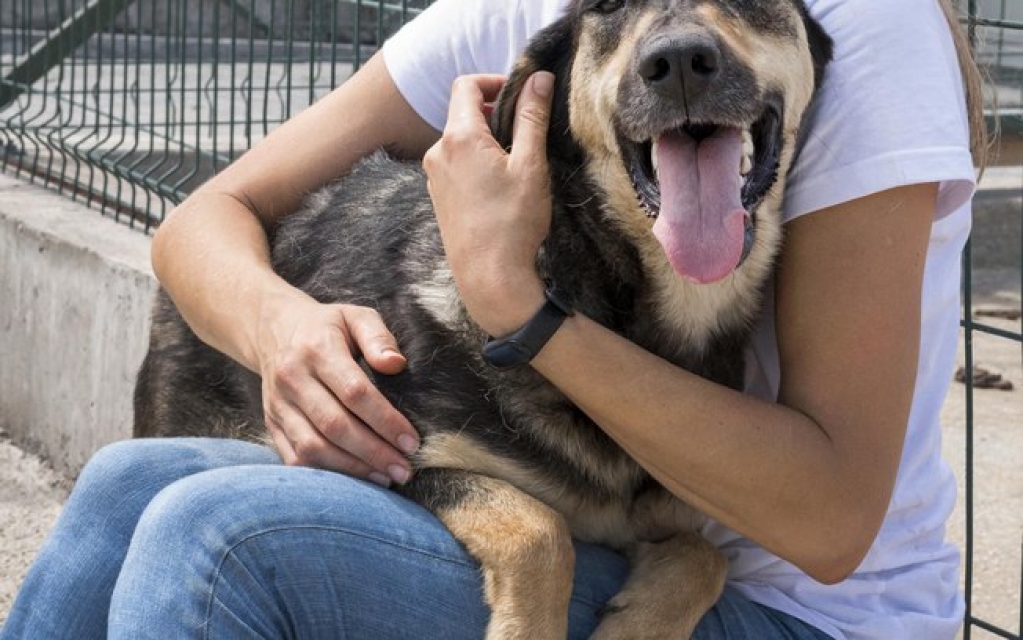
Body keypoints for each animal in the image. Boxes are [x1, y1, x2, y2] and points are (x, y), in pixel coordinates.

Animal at [134, 2, 830, 633]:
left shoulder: (663, 516)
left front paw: (637, 623)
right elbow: (539, 528)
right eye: (607, 9)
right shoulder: (388, 456)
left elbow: (705, 554)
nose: (680, 61)